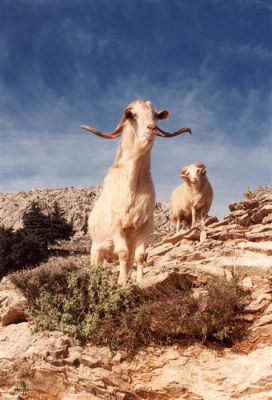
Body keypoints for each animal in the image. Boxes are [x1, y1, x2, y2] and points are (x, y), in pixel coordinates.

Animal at [81, 99, 191, 284]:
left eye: (156, 115)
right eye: (132, 115)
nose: (151, 128)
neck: (132, 185)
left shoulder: (144, 227)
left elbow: (139, 256)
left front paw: (139, 281)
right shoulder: (118, 227)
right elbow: (123, 254)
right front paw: (122, 283)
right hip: (96, 248)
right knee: (96, 265)